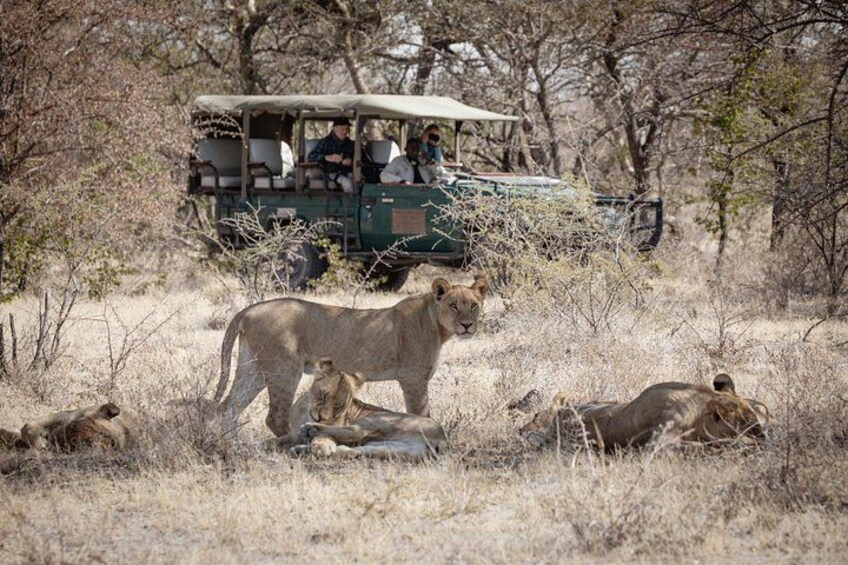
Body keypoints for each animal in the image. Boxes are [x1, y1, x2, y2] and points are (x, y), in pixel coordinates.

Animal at [214, 276, 489, 437]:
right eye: (453, 305)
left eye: (474, 305)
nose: (467, 325)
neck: (436, 323)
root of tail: (249, 309)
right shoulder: (413, 379)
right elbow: (421, 413)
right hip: (284, 369)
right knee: (275, 417)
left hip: (253, 368)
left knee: (228, 408)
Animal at [274, 358, 448, 459]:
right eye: (323, 396)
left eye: (338, 407)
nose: (320, 418)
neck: (306, 413)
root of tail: (443, 437)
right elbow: (276, 440)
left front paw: (317, 442)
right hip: (392, 447)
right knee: (352, 449)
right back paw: (302, 449)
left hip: (377, 419)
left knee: (356, 431)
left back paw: (311, 430)